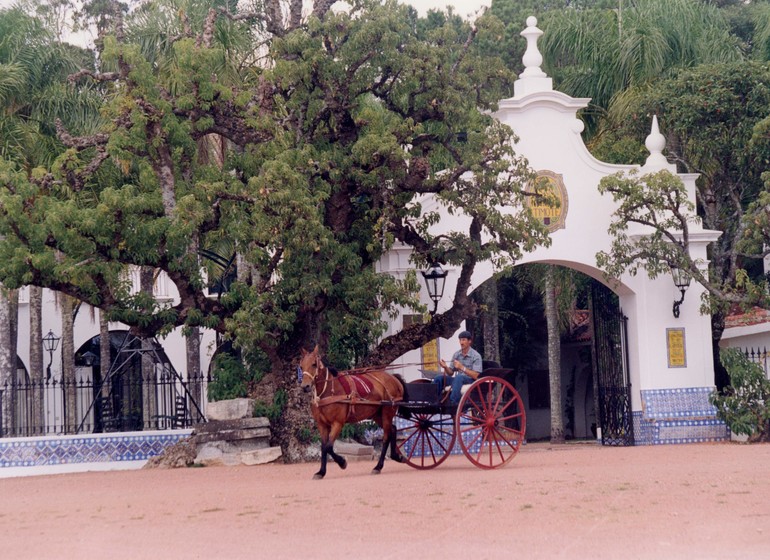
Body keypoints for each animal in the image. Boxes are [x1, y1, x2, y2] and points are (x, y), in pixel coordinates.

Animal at [300, 344, 408, 480]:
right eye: (301, 366)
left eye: (314, 364)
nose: (305, 386)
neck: (329, 391)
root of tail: (394, 379)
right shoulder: (322, 425)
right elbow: (324, 447)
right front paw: (321, 472)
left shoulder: (337, 423)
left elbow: (329, 446)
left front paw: (342, 462)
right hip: (377, 414)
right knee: (393, 429)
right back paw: (395, 456)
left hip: (387, 413)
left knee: (386, 436)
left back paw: (378, 466)